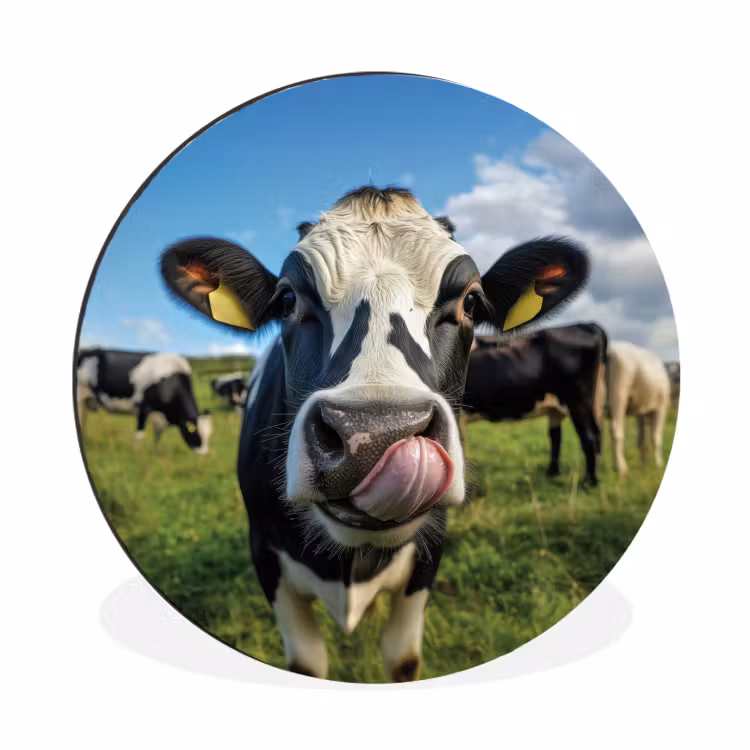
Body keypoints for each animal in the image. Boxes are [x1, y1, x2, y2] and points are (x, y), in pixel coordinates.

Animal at [76, 348, 213, 455]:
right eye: (196, 433)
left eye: (209, 434)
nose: (204, 454)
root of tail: (86, 351)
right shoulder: (143, 407)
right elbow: (139, 435)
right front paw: (136, 454)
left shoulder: (160, 417)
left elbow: (158, 436)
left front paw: (155, 453)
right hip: (80, 393)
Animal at [158, 185, 589, 681]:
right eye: (287, 300)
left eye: (471, 302)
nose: (374, 436)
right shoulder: (266, 557)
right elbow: (307, 663)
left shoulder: (428, 558)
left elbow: (402, 660)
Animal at [460, 323, 608, 486]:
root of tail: (586, 325)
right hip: (585, 404)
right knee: (574, 434)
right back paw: (555, 473)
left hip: (578, 400)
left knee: (588, 437)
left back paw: (589, 482)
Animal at [606, 340, 671, 476]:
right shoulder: (661, 408)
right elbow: (656, 437)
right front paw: (658, 464)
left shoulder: (640, 412)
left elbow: (641, 439)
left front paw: (644, 465)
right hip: (618, 394)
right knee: (615, 429)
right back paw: (621, 468)